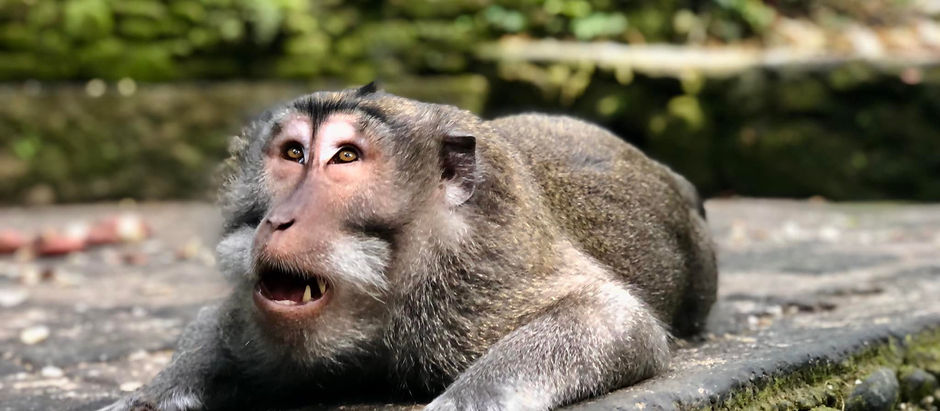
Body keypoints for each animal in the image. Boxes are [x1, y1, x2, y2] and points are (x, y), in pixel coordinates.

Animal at [102, 83, 717, 411]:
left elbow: (612, 318)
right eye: (294, 153)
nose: (278, 220)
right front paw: (149, 396)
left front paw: (469, 399)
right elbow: (219, 320)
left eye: (345, 157)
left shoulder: (478, 283)